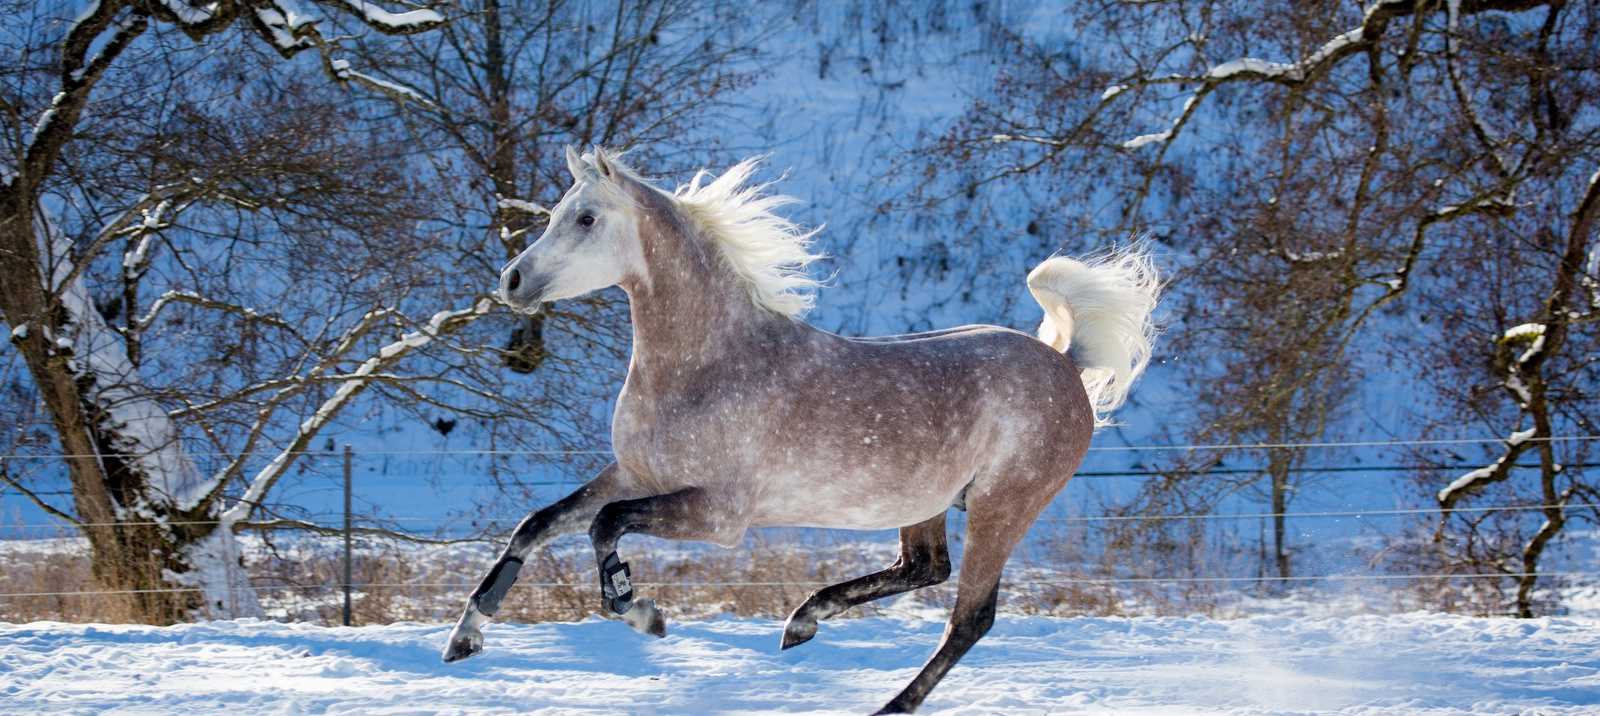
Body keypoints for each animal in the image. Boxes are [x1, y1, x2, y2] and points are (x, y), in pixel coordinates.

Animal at [441, 148, 1164, 712]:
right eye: (555, 214)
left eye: (587, 218)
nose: (512, 281)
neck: (710, 364)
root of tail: (1067, 366)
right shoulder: (635, 473)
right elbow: (538, 524)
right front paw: (465, 637)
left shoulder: (719, 515)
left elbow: (603, 526)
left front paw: (644, 613)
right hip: (925, 503)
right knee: (923, 568)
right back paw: (803, 621)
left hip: (1001, 506)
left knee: (970, 618)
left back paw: (887, 703)